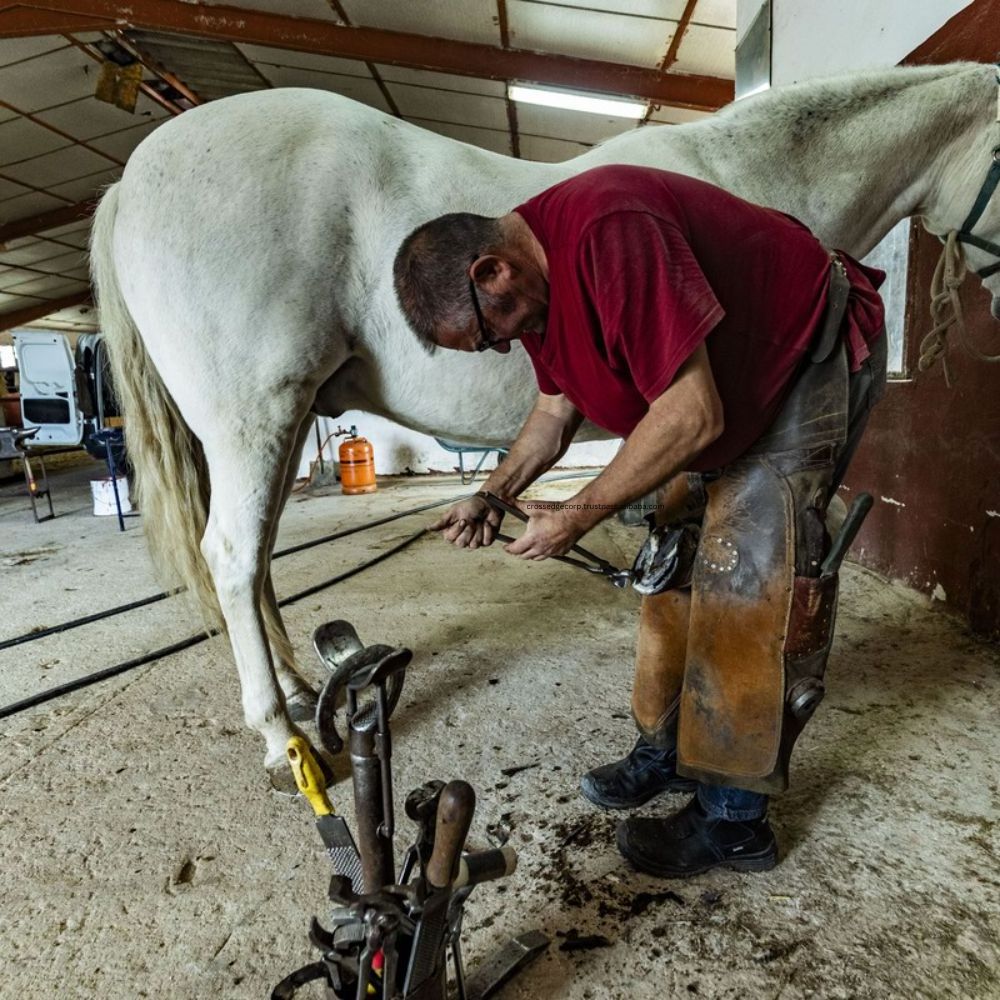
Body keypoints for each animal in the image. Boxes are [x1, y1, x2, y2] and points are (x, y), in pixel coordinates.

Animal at [90, 62, 996, 784]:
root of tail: (130, 182)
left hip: (275, 429)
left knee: (257, 563)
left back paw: (302, 692)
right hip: (254, 417)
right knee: (233, 556)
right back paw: (283, 738)